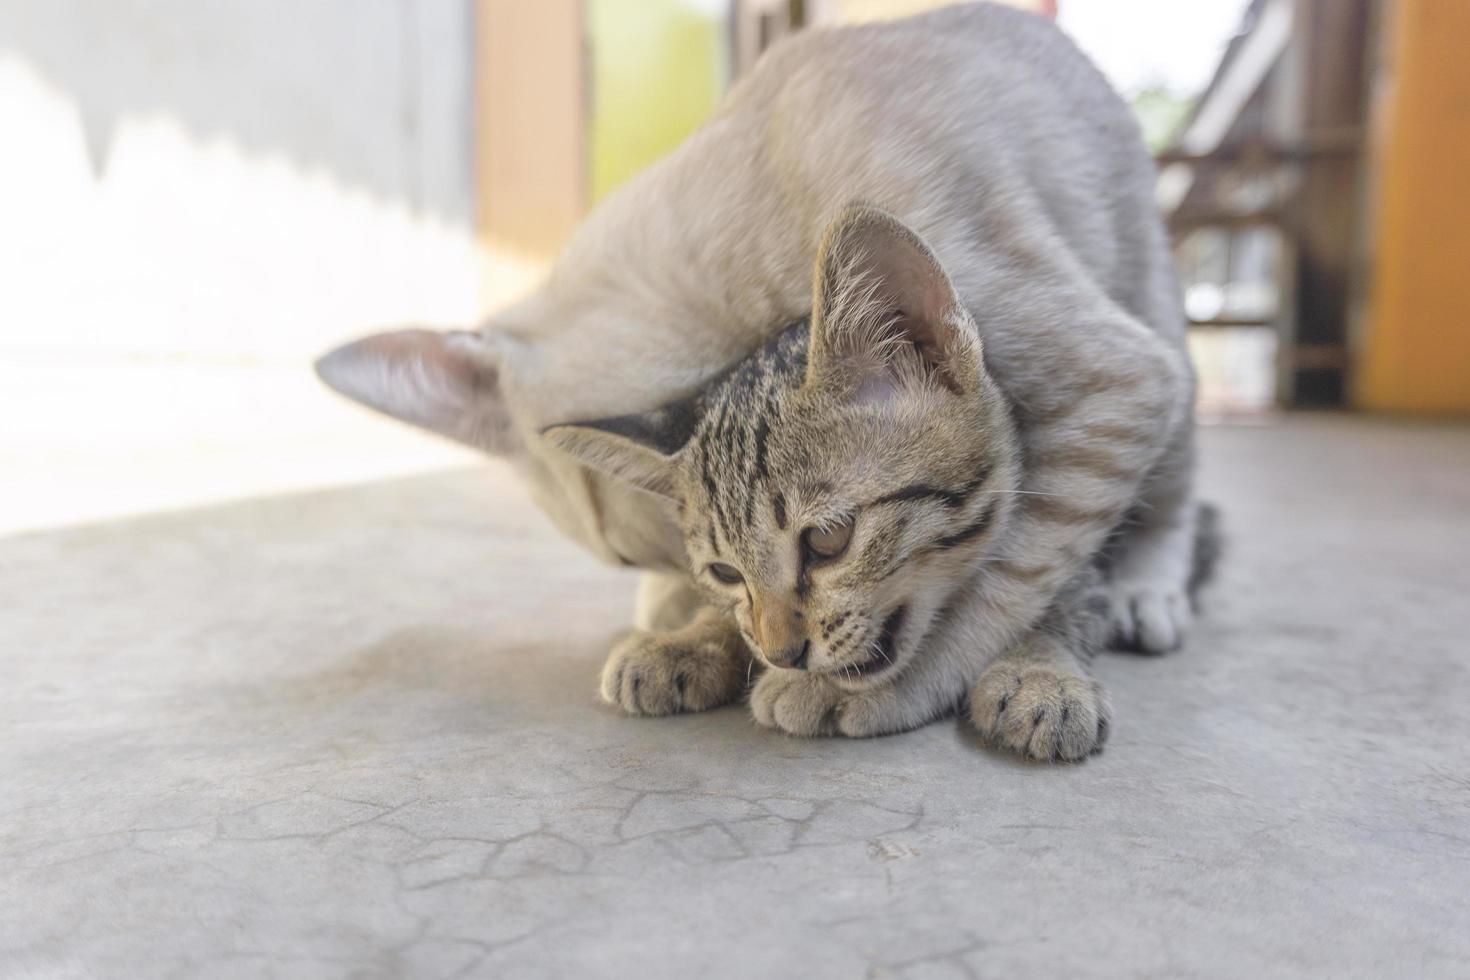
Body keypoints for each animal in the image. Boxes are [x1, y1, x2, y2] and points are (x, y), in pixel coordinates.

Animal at [313, 3, 1217, 764]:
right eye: (695, 562)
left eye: (620, 551)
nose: (777, 645)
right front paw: (689, 640)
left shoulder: (1111, 377)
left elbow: (1007, 577)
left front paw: (890, 684)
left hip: (1156, 313)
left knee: (1168, 488)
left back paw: (1146, 587)